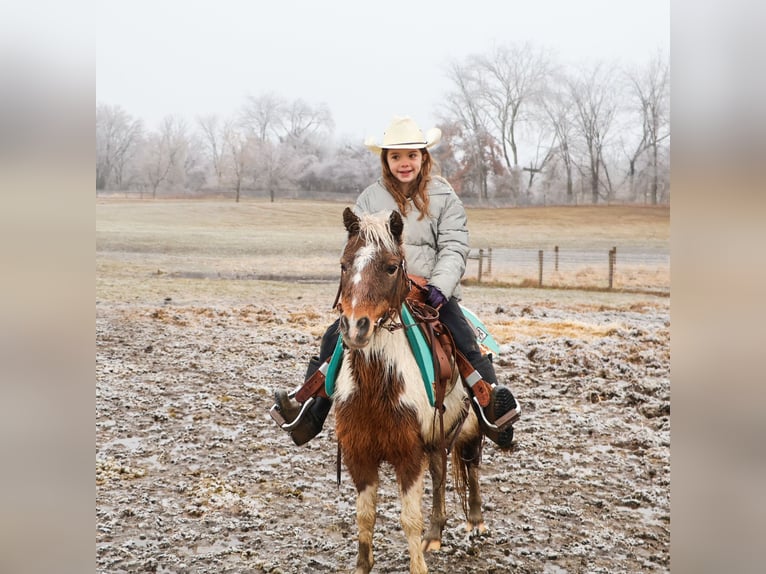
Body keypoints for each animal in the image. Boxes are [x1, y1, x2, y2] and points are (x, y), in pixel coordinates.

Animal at [332, 207, 486, 574]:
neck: (377, 387)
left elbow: (409, 520)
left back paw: (475, 521)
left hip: (470, 429)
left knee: (472, 466)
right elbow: (365, 517)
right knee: (441, 474)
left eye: (390, 266)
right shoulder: (360, 454)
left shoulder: (408, 455)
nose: (355, 327)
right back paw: (436, 533)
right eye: (344, 265)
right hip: (436, 439)